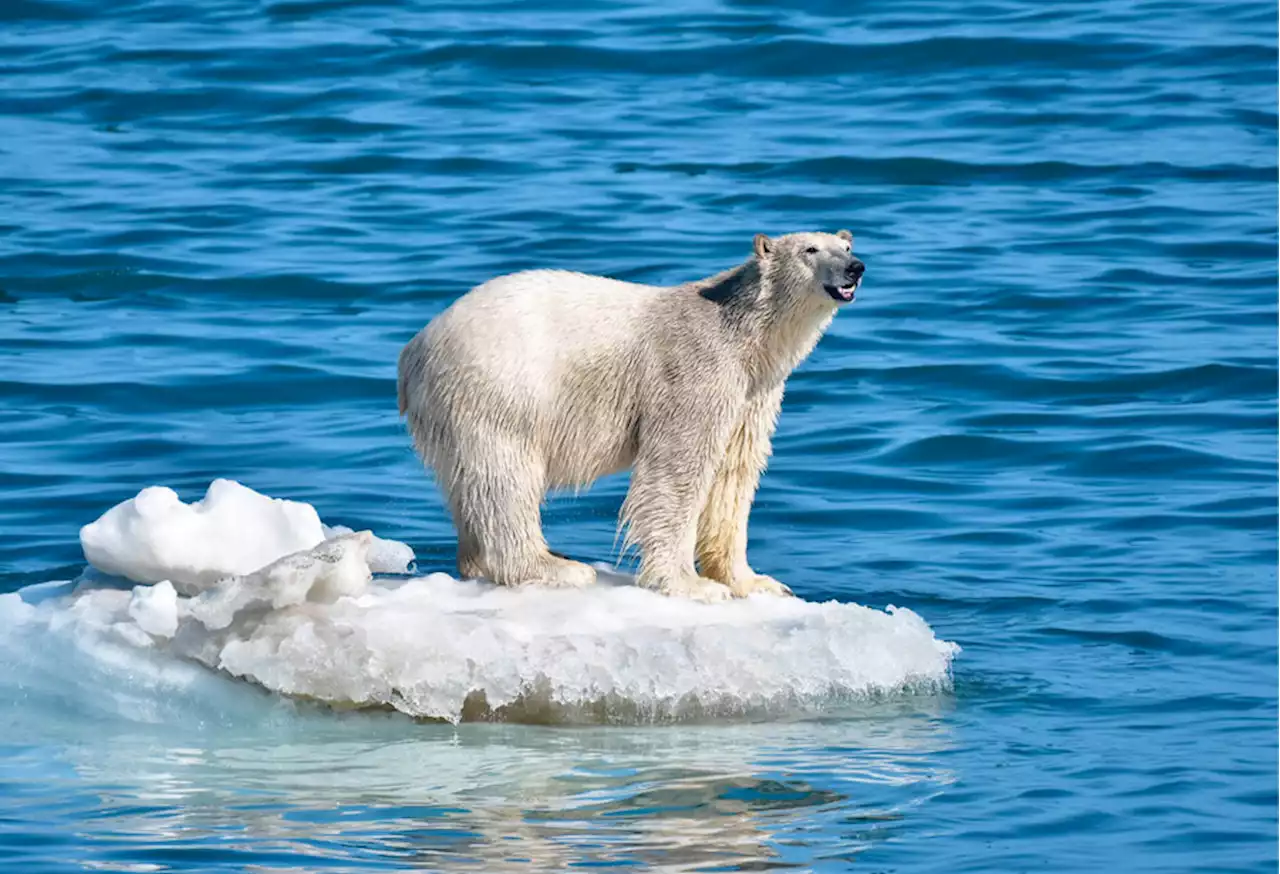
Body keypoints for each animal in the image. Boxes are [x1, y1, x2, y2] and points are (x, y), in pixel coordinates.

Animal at [394, 232, 865, 601]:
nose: (855, 268)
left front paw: (756, 582)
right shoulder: (694, 369)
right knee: (505, 476)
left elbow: (734, 475)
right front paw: (690, 584)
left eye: (845, 245)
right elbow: (677, 470)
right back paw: (554, 566)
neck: (741, 330)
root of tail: (413, 351)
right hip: (496, 388)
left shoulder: (752, 394)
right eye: (810, 249)